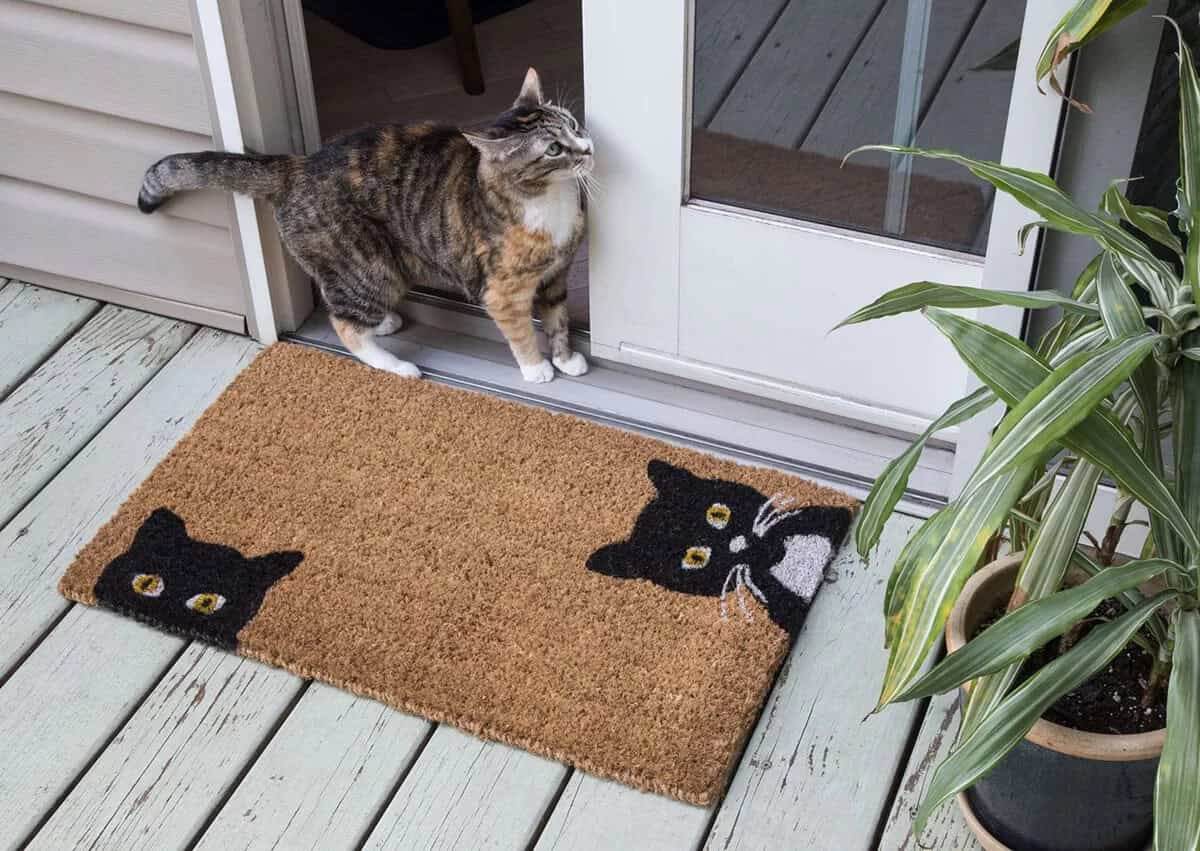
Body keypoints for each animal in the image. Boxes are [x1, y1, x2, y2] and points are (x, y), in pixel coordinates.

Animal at [139, 69, 590, 381]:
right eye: (553, 149)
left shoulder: (556, 275)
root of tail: (297, 165)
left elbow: (558, 319)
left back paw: (387, 323)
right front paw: (536, 368)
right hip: (369, 268)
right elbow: (521, 331)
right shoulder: (503, 292)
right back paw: (397, 365)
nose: (587, 148)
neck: (548, 200)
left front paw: (566, 359)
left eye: (573, 125)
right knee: (344, 324)